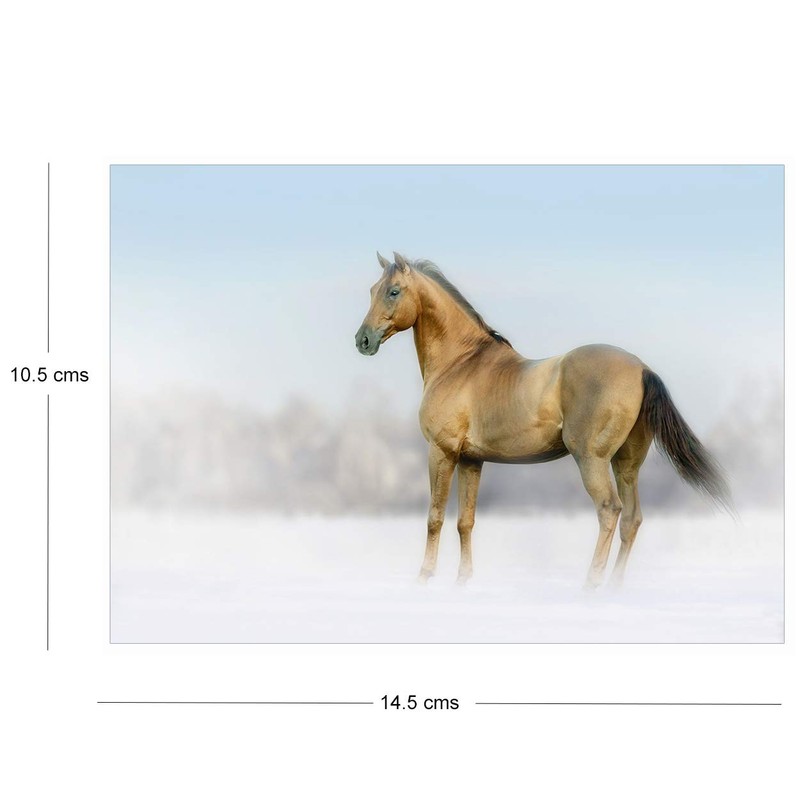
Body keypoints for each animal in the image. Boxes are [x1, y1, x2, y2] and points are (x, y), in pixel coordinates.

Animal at [355, 252, 732, 589]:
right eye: (373, 289)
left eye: (394, 291)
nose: (363, 340)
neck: (461, 363)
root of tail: (641, 368)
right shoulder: (472, 460)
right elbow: (465, 521)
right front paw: (463, 579)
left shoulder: (441, 452)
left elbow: (434, 517)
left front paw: (424, 577)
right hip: (626, 464)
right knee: (631, 519)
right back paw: (614, 586)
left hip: (592, 460)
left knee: (609, 511)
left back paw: (591, 583)